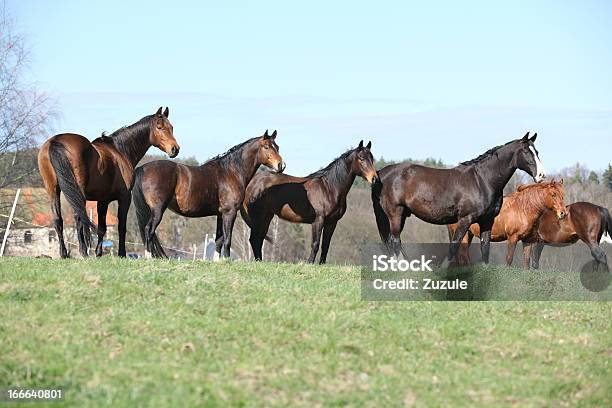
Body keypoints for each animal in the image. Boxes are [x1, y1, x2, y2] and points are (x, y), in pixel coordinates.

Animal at [38, 107, 179, 256]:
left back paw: (64, 253)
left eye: (171, 127)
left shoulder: (103, 201)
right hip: (77, 192)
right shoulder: (124, 197)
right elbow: (121, 227)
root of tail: (56, 141)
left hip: (53, 190)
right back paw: (83, 252)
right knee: (78, 216)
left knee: (58, 220)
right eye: (159, 127)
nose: (175, 149)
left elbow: (102, 227)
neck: (120, 150)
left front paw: (98, 253)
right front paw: (121, 253)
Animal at [132, 130, 284, 258]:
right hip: (158, 210)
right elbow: (227, 240)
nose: (281, 165)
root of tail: (141, 168)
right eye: (266, 147)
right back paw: (149, 258)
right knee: (149, 230)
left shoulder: (220, 214)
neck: (231, 172)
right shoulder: (230, 212)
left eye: (277, 146)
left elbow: (218, 240)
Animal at [240, 140, 376, 264]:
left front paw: (322, 264)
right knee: (254, 239)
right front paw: (309, 263)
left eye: (372, 158)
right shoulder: (318, 220)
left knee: (259, 239)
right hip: (257, 216)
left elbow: (325, 245)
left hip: (266, 216)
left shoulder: (332, 222)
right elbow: (315, 244)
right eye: (361, 158)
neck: (329, 188)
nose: (374, 179)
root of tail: (252, 182)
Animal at [370, 132, 548, 262]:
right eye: (526, 152)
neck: (482, 180)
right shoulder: (464, 219)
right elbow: (454, 247)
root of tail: (381, 173)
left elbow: (485, 249)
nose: (541, 175)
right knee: (394, 241)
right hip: (395, 214)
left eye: (537, 152)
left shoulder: (487, 221)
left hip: (401, 215)